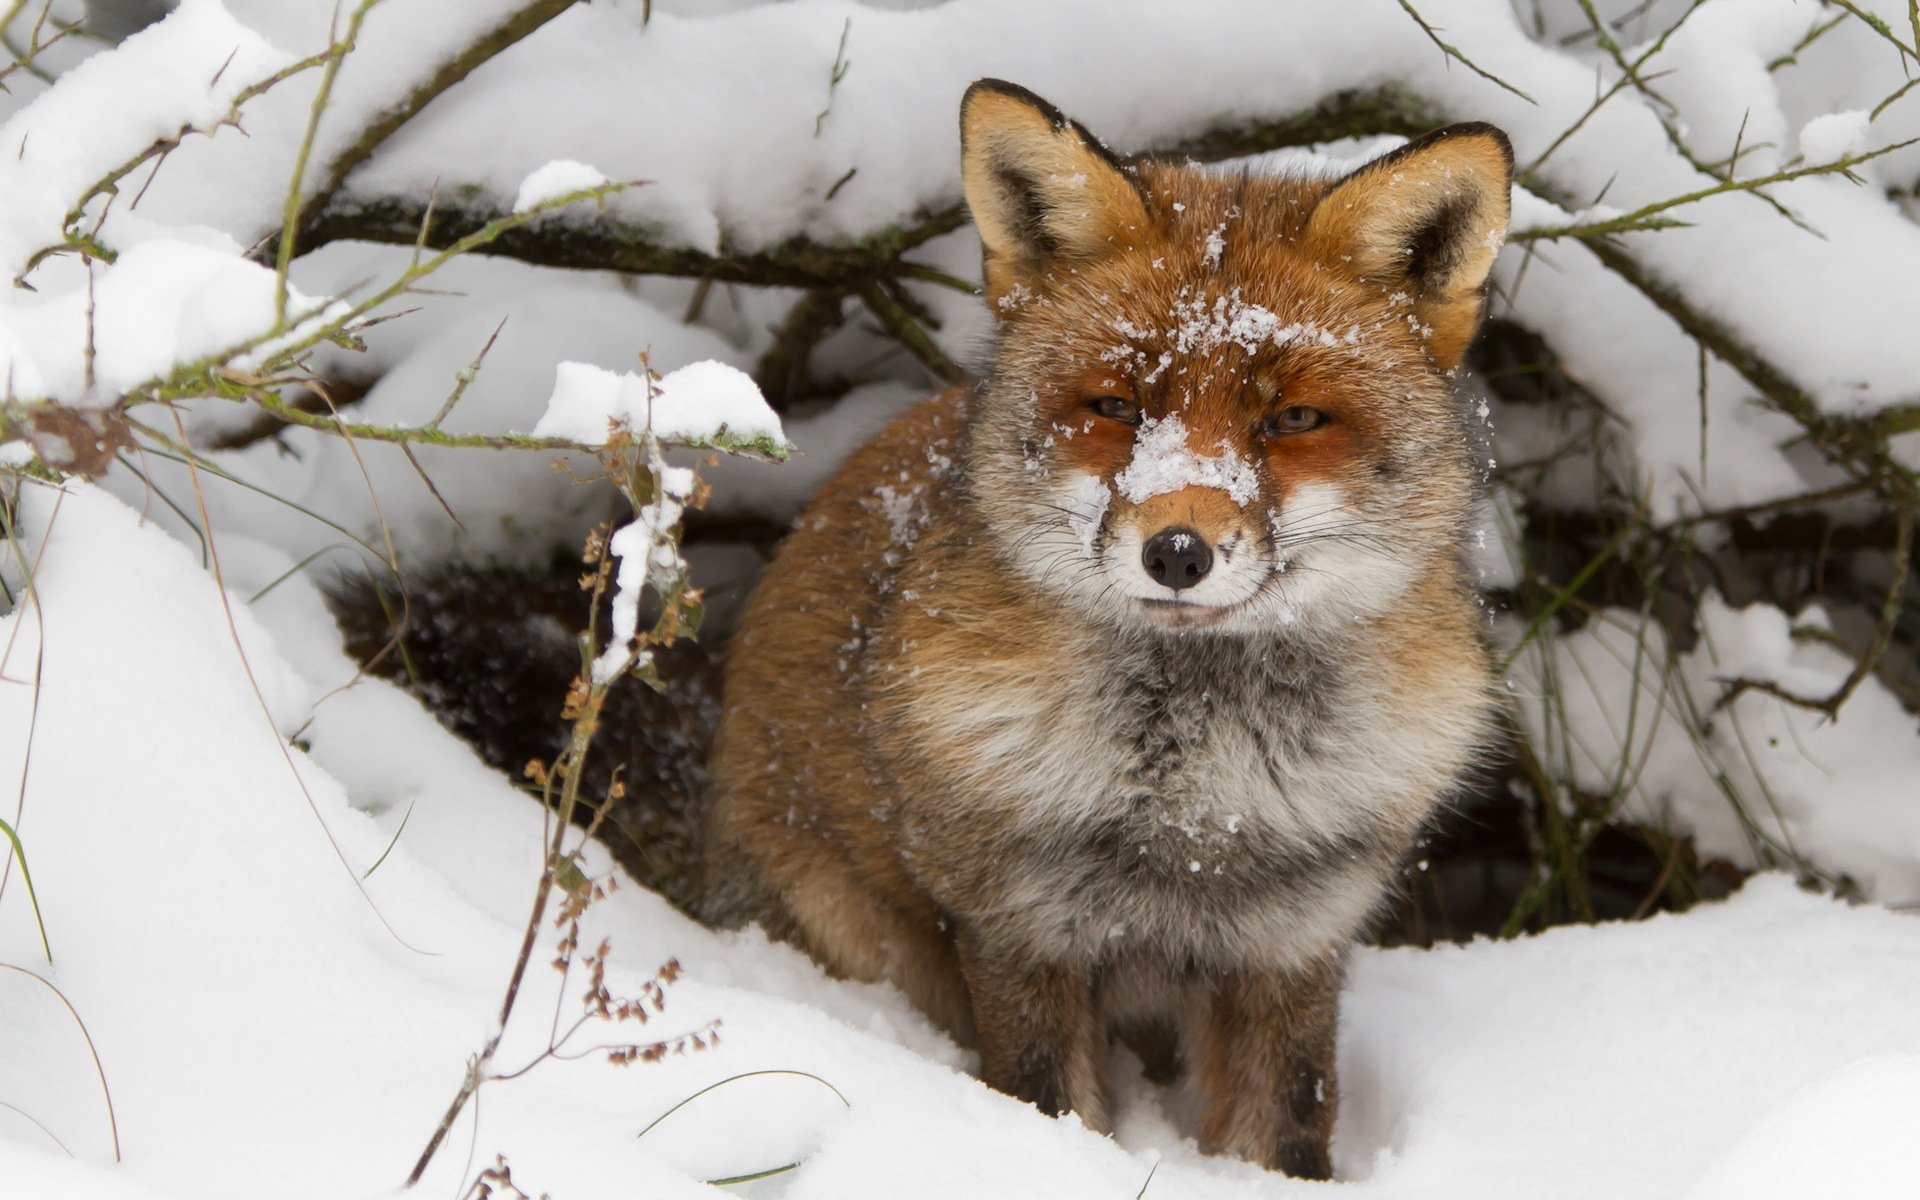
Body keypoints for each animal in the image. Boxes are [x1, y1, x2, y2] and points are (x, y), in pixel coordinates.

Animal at [702, 80, 1511, 1178]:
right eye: (1119, 405)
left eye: (1293, 420)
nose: (1177, 552)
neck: (1198, 811)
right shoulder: (1022, 931)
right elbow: (1052, 1110)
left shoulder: (1294, 942)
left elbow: (1288, 1128)